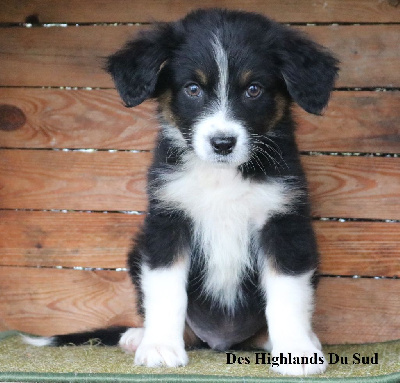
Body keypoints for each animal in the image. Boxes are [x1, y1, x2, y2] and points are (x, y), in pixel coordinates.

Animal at [23, 8, 340, 376]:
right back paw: (138, 336)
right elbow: (166, 290)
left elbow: (287, 293)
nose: (222, 143)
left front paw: (295, 351)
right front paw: (160, 348)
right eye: (192, 89)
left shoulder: (283, 224)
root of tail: (221, 340)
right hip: (138, 250)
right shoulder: (168, 222)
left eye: (254, 89)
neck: (221, 176)